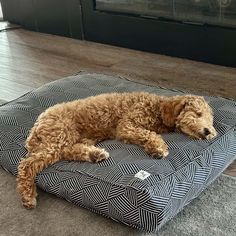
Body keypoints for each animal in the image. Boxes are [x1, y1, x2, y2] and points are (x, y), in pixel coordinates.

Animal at [16, 92, 218, 208]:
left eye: (210, 121)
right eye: (198, 113)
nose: (208, 131)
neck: (158, 108)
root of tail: (36, 125)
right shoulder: (127, 125)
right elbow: (148, 133)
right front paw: (159, 147)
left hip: (73, 139)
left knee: (68, 152)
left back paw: (95, 154)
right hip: (60, 135)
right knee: (27, 164)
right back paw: (27, 196)